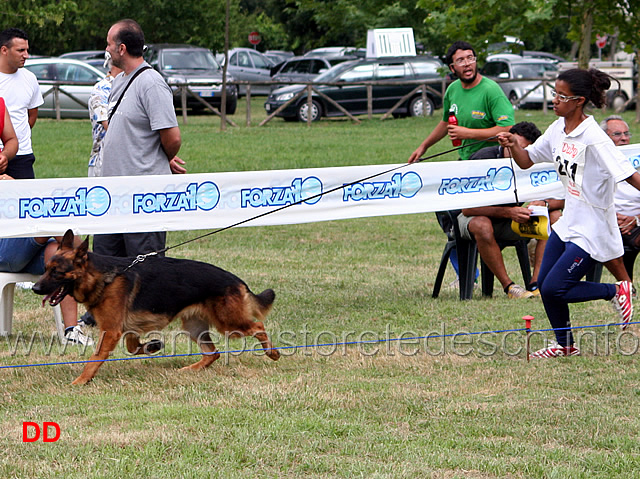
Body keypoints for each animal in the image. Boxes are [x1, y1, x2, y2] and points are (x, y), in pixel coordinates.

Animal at [31, 231, 278, 384]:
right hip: (194, 326)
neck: (103, 278)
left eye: (57, 273)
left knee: (258, 326)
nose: (34, 287)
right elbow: (132, 348)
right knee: (213, 352)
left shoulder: (111, 331)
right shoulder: (126, 329)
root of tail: (237, 280)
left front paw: (81, 381)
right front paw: (152, 346)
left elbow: (94, 359)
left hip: (228, 324)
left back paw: (272, 352)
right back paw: (192, 369)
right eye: (45, 268)